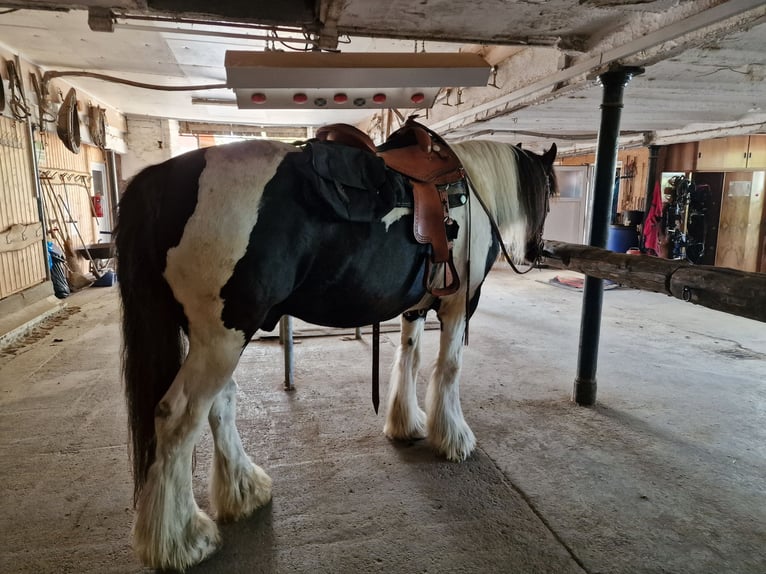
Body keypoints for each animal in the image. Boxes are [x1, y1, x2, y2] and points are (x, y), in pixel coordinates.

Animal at [115, 120, 557, 571]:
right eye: (549, 191)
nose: (538, 251)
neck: (470, 192)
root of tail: (164, 177)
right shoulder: (459, 305)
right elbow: (448, 369)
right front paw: (453, 438)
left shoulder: (416, 307)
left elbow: (409, 358)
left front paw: (406, 422)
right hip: (224, 336)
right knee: (178, 417)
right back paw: (182, 540)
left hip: (216, 339)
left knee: (221, 403)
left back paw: (244, 491)